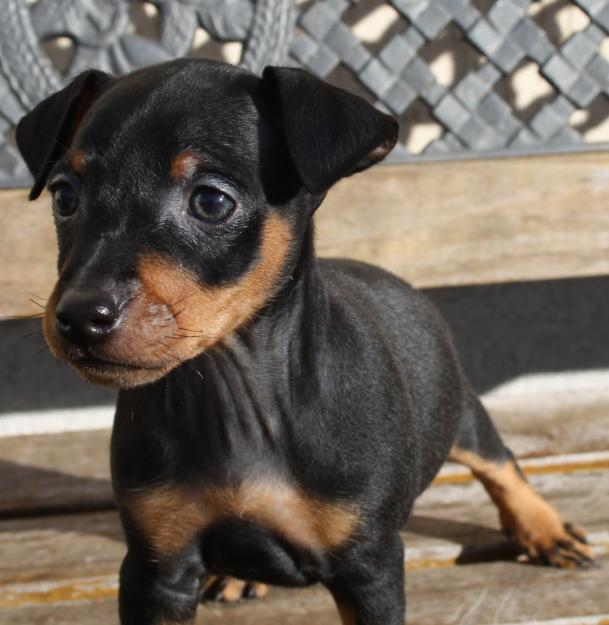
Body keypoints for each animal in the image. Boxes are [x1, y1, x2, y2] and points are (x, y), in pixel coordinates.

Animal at [15, 61, 592, 624]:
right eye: (65, 196)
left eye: (210, 201)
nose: (81, 318)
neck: (234, 392)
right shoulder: (158, 567)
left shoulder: (370, 565)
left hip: (459, 410)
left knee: (498, 460)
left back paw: (544, 528)